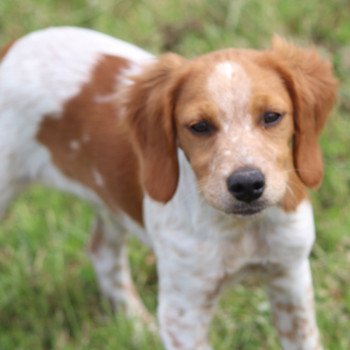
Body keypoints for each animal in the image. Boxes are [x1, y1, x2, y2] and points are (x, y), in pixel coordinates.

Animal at [0, 28, 340, 350]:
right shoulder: (183, 313)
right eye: (199, 126)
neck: (241, 229)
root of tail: (11, 48)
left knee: (102, 251)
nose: (246, 185)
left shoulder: (290, 279)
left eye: (271, 117)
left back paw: (138, 327)